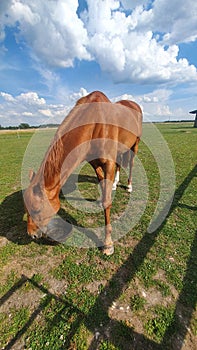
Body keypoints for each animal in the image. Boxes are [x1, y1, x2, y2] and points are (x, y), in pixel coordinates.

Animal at [23, 90, 142, 254]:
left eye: (36, 209)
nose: (31, 234)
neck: (96, 121)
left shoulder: (108, 163)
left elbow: (107, 201)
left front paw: (108, 244)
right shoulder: (94, 162)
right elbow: (102, 184)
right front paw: (104, 195)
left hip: (135, 144)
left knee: (130, 163)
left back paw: (129, 186)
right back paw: (115, 184)